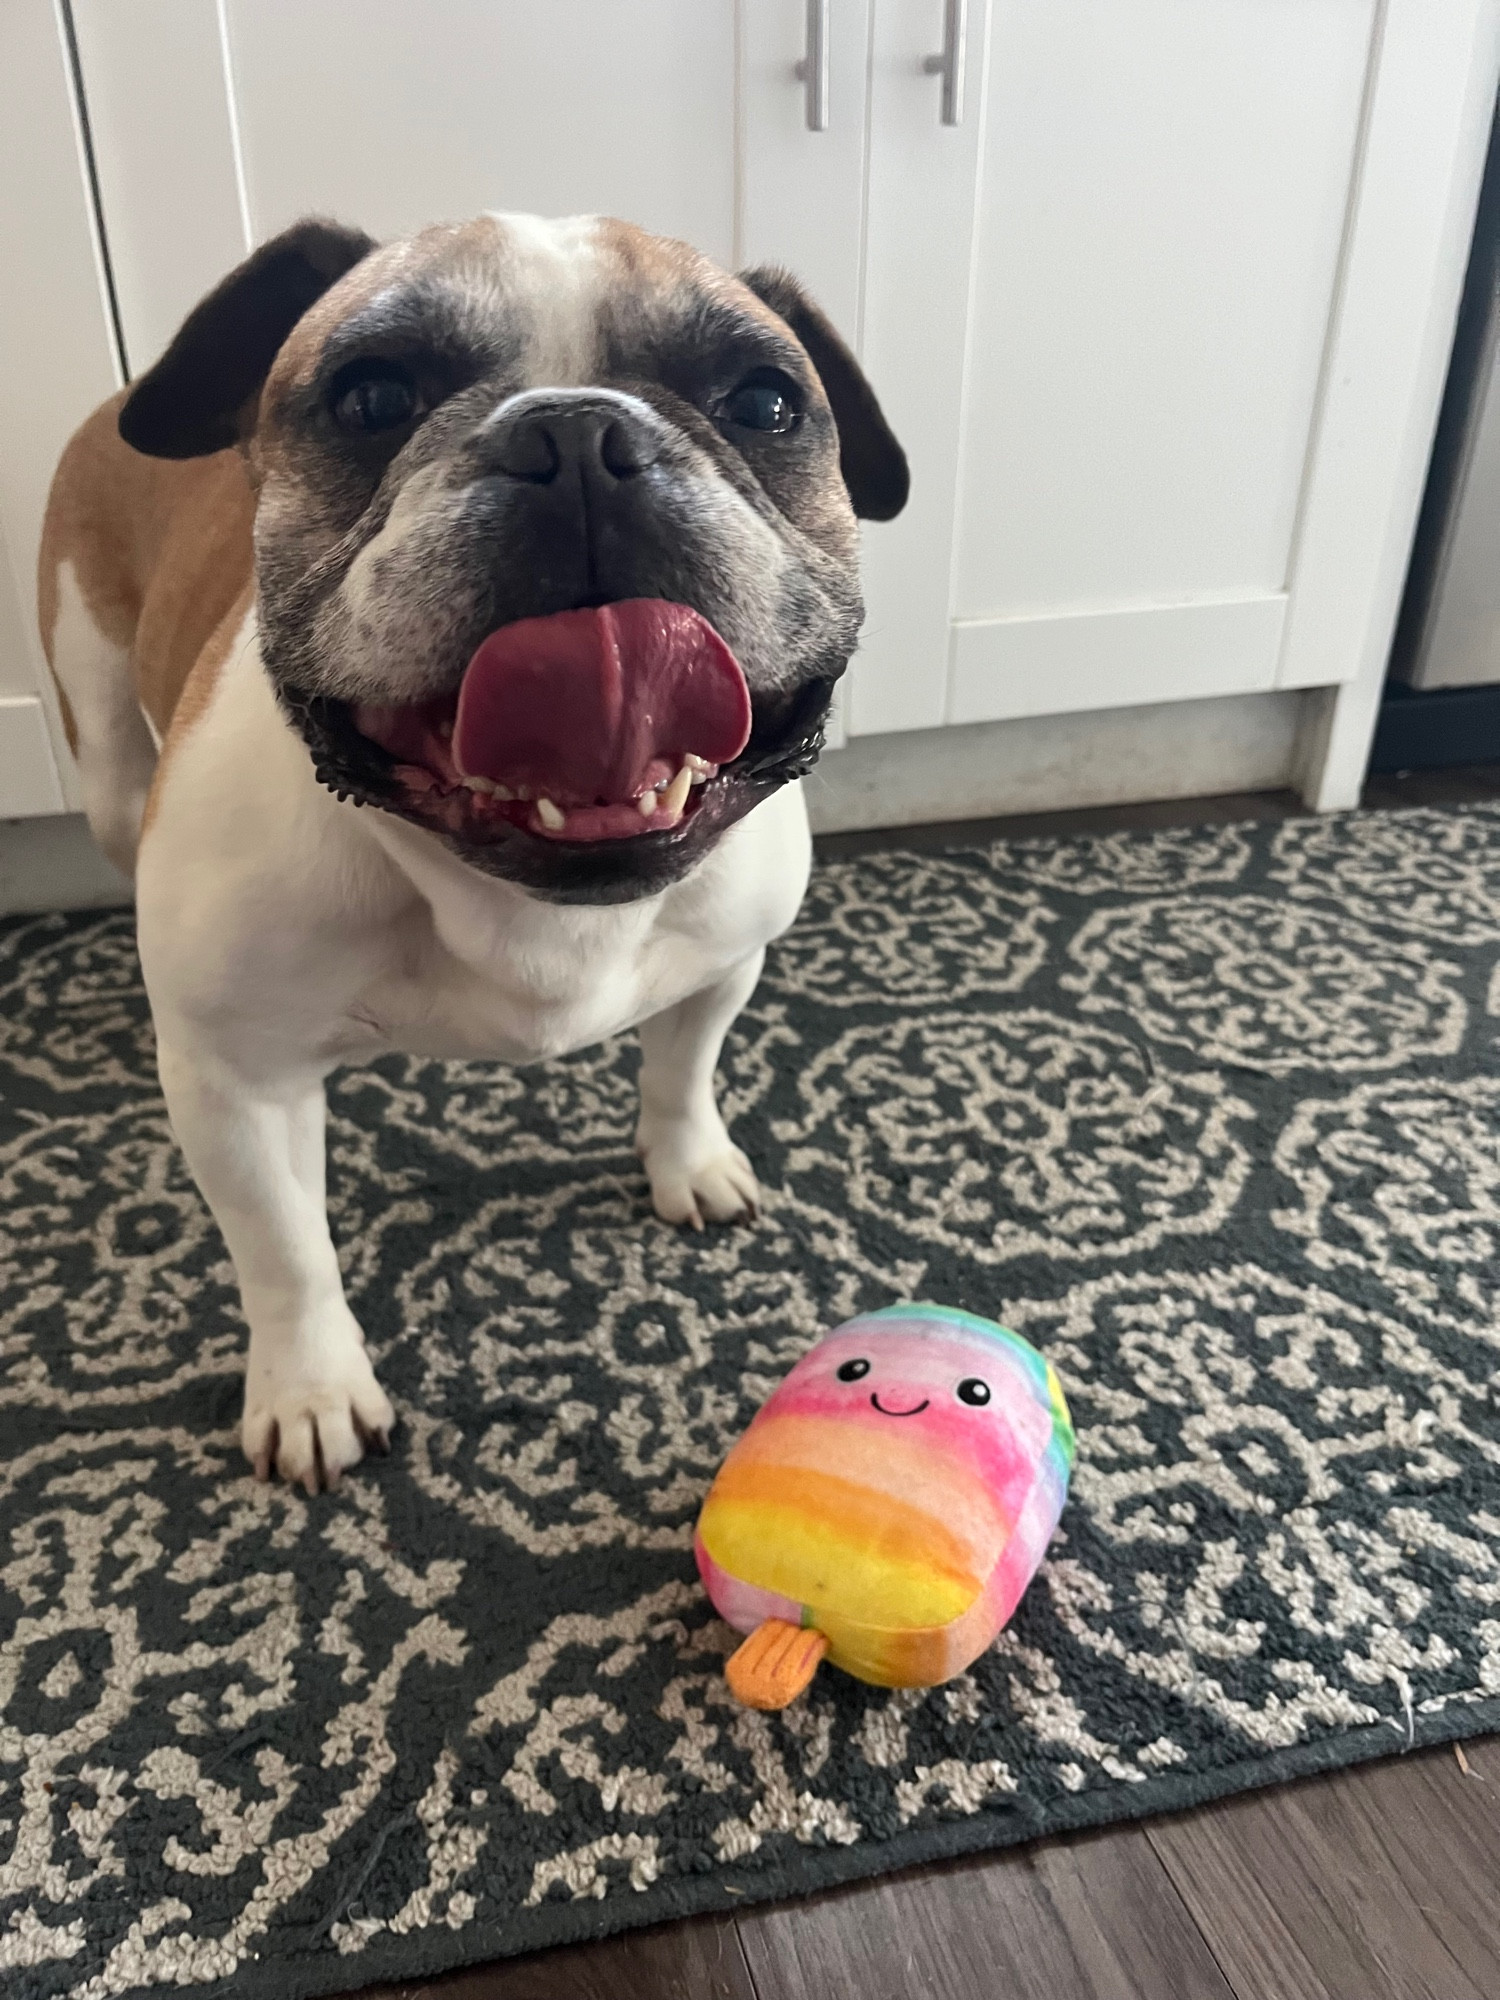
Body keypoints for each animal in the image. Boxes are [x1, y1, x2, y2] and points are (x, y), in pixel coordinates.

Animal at [38, 219, 904, 1496]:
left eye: (762, 401)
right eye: (373, 397)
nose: (580, 436)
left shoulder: (723, 962)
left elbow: (681, 1068)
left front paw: (687, 1160)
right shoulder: (234, 1081)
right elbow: (282, 1249)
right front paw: (309, 1388)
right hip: (99, 750)